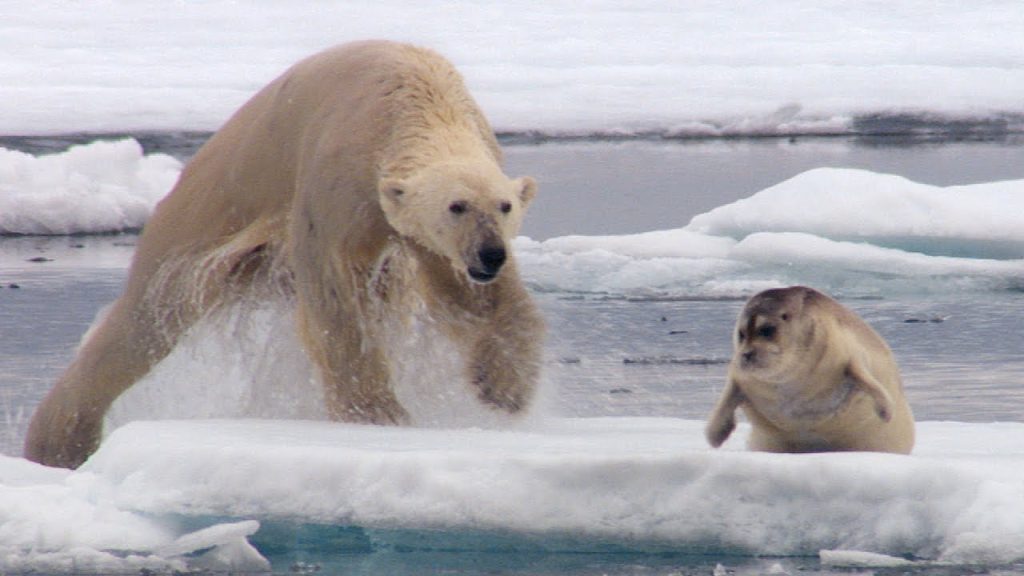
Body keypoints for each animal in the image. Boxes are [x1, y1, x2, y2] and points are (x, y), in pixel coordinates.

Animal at [25, 39, 544, 467]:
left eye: (504, 206)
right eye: (457, 206)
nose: (491, 254)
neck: (415, 97)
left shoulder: (427, 233)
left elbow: (474, 298)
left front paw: (504, 388)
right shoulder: (338, 177)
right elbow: (337, 296)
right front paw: (379, 415)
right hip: (210, 208)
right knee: (148, 317)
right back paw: (58, 440)